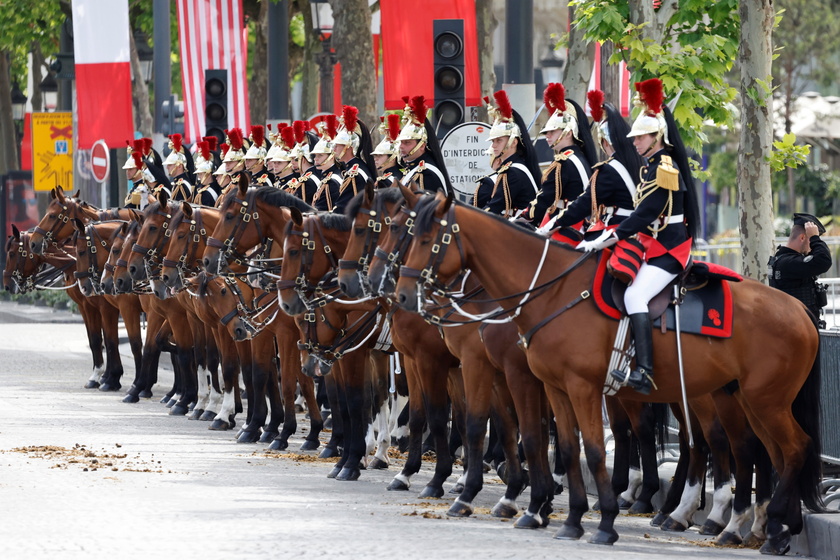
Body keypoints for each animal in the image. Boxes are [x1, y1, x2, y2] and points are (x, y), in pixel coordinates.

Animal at [398, 191, 824, 552]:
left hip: (759, 400)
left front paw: (601, 522)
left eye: (425, 238)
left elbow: (588, 448)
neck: (552, 291)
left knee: (784, 448)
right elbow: (565, 447)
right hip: (750, 399)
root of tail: (798, 309)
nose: (401, 294)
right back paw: (761, 527)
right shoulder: (552, 387)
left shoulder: (570, 385)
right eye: (407, 233)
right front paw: (567, 518)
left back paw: (757, 527)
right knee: (770, 452)